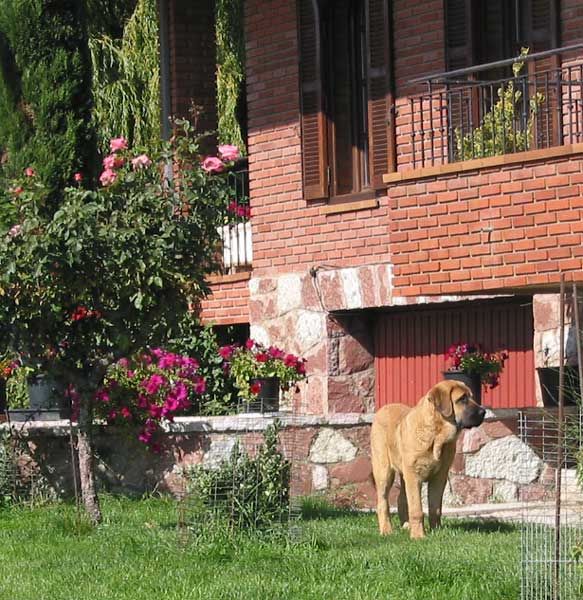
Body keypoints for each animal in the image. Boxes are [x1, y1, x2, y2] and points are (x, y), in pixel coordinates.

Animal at [372, 382, 486, 540]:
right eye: (462, 399)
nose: (484, 412)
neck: (436, 435)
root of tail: (382, 409)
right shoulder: (414, 476)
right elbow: (416, 509)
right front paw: (418, 536)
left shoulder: (439, 477)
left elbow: (435, 508)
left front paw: (436, 531)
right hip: (384, 472)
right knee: (382, 502)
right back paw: (386, 530)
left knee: (401, 499)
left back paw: (406, 526)